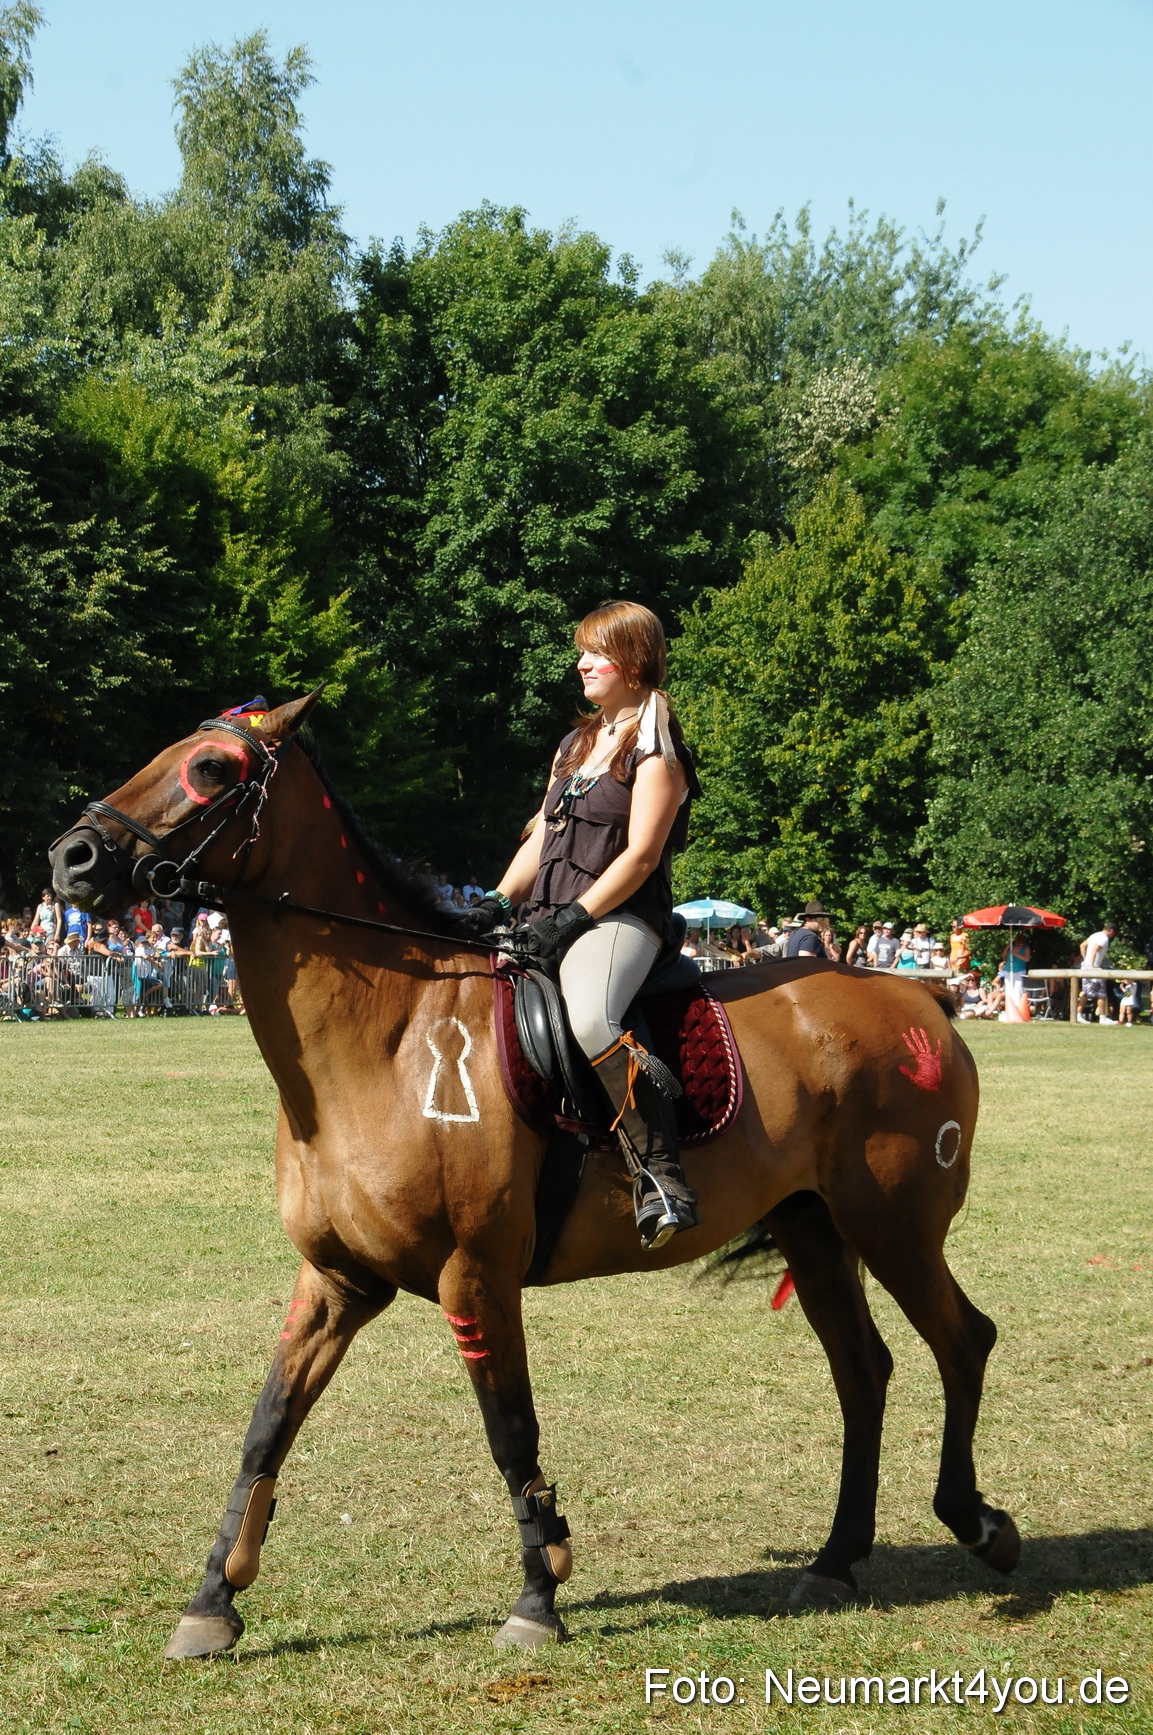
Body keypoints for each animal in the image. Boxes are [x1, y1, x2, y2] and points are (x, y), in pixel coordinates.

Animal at [50, 692, 1020, 1660]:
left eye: (212, 768)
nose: (71, 857)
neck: (388, 1039)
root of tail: (918, 996)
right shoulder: (334, 1280)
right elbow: (265, 1428)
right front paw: (212, 1600)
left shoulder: (475, 1276)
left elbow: (510, 1431)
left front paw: (537, 1594)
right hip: (813, 1229)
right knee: (863, 1369)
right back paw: (834, 1559)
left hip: (893, 1227)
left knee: (961, 1339)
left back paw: (978, 1525)